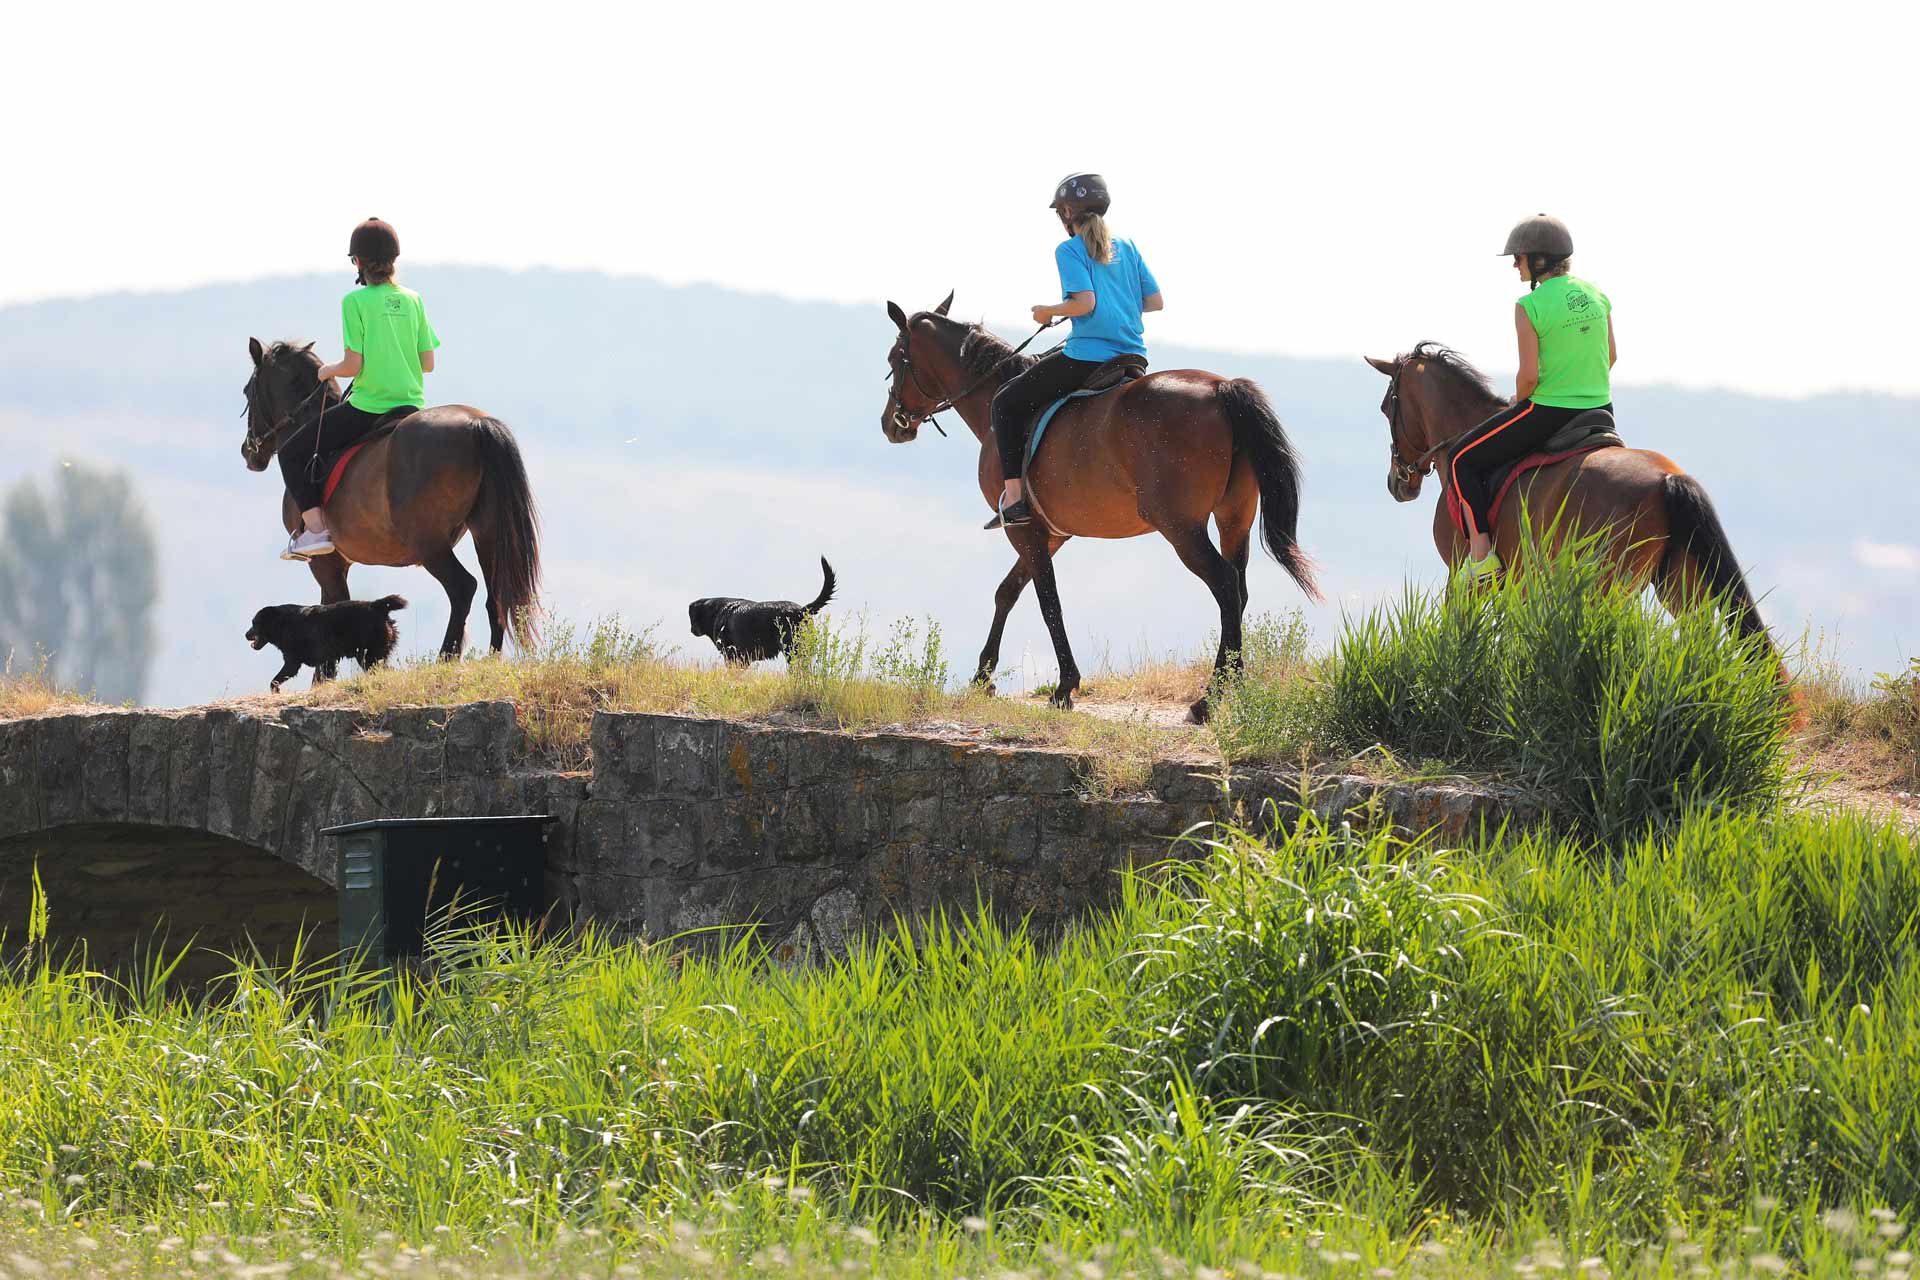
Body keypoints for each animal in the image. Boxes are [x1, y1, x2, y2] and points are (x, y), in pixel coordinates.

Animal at [241, 337, 541, 660]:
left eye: (247, 391)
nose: (248, 451)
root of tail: (475, 424)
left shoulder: (325, 564)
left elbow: (328, 615)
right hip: (487, 531)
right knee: (495, 592)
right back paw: (490, 658)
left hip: (429, 543)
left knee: (463, 587)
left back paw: (445, 658)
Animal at [247, 598, 408, 694]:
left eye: (254, 623)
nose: (245, 634)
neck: (281, 623)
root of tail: (377, 606)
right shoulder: (327, 659)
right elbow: (325, 675)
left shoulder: (293, 660)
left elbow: (277, 678)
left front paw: (275, 690)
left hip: (368, 654)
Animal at [879, 293, 1313, 725]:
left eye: (895, 358)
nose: (891, 424)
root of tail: (1222, 387)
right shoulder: (1052, 533)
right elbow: (1008, 591)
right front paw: (983, 676)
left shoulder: (1023, 529)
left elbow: (1047, 601)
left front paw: (1064, 687)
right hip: (1233, 518)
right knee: (1237, 590)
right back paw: (1230, 690)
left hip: (1182, 528)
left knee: (1224, 585)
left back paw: (1210, 699)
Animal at [1367, 339, 1781, 660]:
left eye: (1387, 408)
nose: (1397, 482)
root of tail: (1668, 478)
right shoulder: (1519, 585)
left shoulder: (1461, 577)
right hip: (1677, 585)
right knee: (1700, 639)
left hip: (1608, 586)